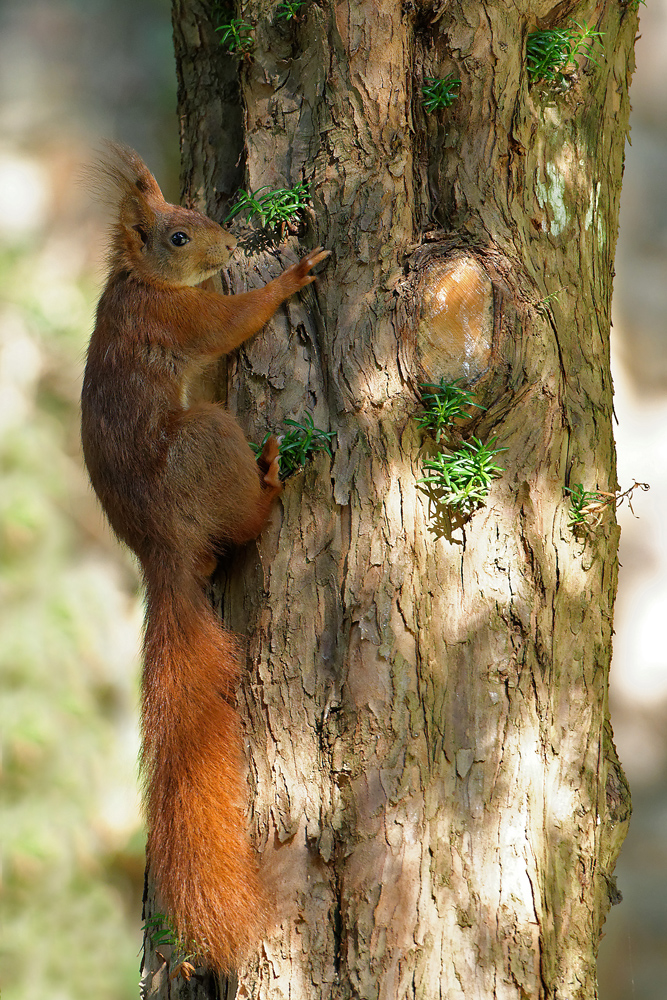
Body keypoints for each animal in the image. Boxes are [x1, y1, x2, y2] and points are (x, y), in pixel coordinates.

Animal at [82, 145, 330, 972]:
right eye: (178, 237)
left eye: (197, 213)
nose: (227, 246)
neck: (139, 281)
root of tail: (160, 552)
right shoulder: (178, 317)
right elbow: (229, 323)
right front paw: (289, 276)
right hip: (207, 440)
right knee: (245, 520)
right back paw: (273, 482)